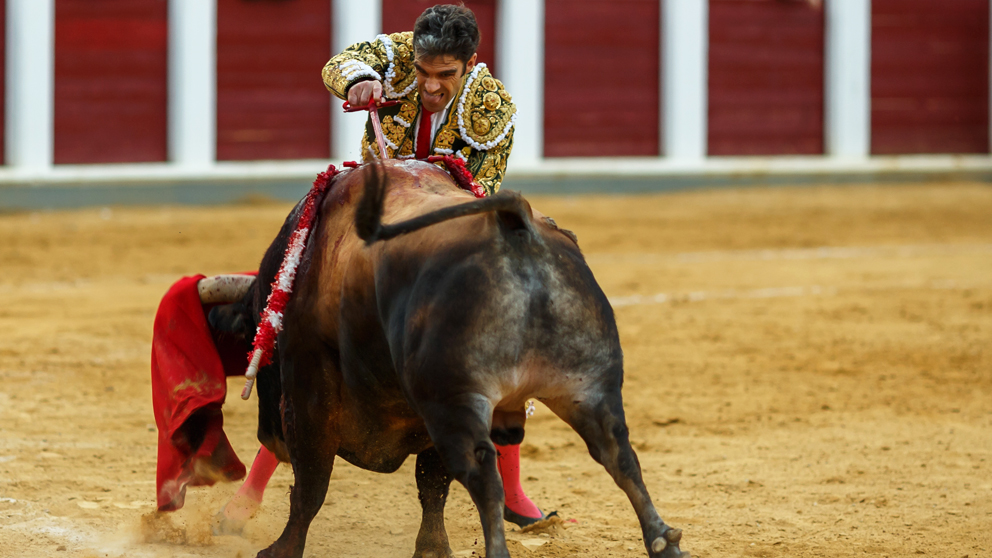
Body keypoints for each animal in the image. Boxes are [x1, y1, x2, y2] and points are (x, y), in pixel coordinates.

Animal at [228, 161, 684, 558]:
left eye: (257, 343)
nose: (270, 438)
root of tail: (514, 226)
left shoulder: (310, 390)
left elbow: (312, 484)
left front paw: (281, 550)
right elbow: (431, 484)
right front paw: (433, 549)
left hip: (454, 400)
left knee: (483, 475)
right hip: (587, 386)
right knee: (619, 454)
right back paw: (664, 542)